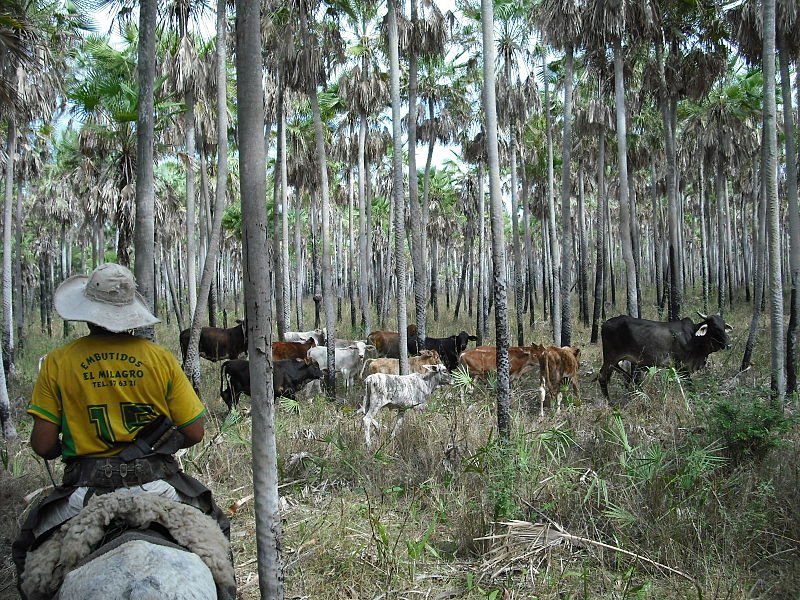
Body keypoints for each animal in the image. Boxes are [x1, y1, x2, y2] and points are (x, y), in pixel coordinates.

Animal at [600, 312, 732, 396]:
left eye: (724, 326)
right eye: (715, 327)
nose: (729, 345)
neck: (694, 338)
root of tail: (604, 324)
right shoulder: (682, 366)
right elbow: (690, 387)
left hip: (616, 359)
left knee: (623, 375)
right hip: (610, 357)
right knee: (602, 376)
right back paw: (609, 402)